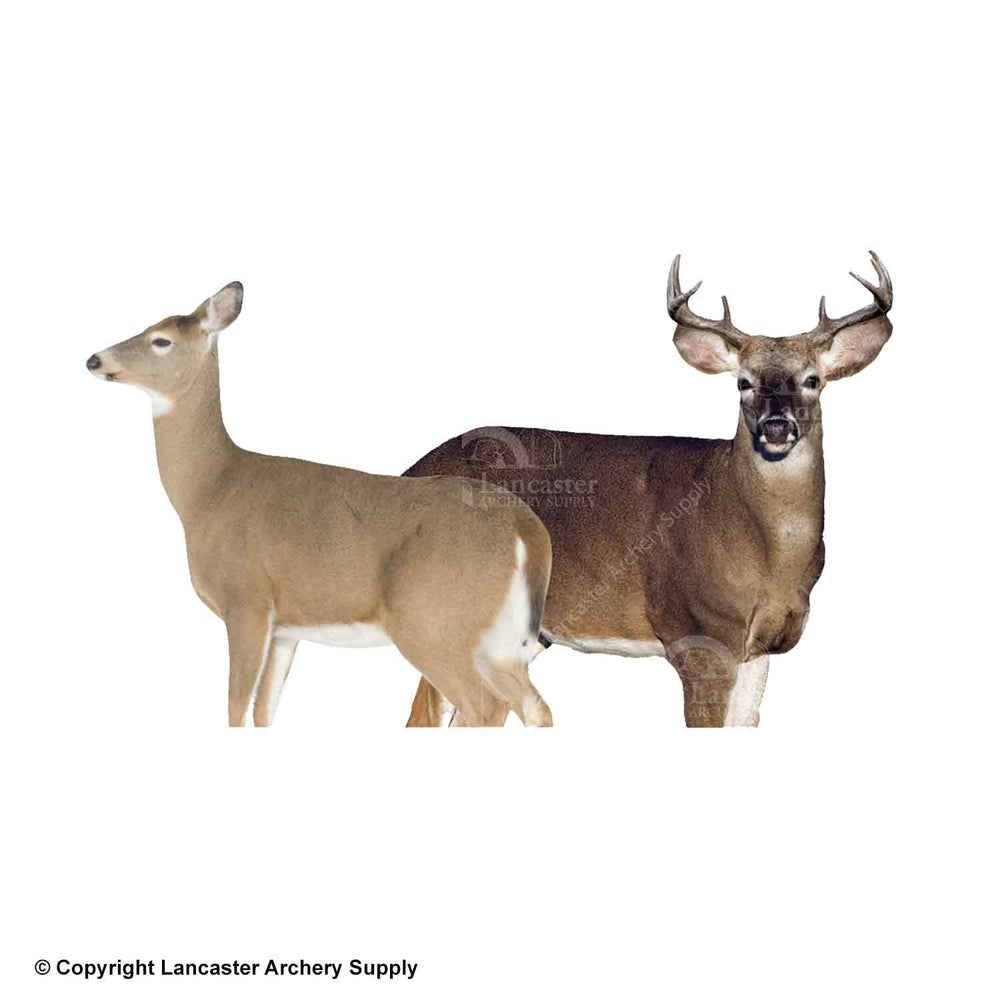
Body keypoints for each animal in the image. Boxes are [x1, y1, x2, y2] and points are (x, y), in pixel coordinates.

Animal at [86, 281, 553, 727]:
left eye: (160, 340)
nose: (94, 360)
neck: (209, 490)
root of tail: (527, 528)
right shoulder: (286, 629)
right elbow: (265, 712)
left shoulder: (247, 600)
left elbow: (236, 708)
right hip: (497, 639)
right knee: (533, 706)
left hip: (432, 622)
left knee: (484, 707)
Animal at [403, 252, 893, 727]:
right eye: (743, 382)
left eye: (812, 380)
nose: (776, 426)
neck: (768, 557)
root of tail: (410, 470)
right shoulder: (699, 634)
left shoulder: (762, 648)